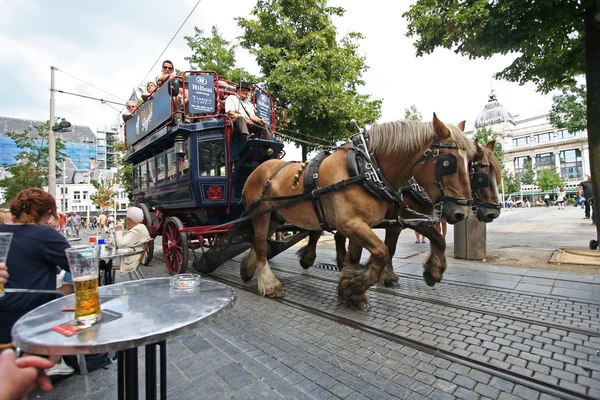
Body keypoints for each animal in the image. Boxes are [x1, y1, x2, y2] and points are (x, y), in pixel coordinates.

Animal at [241, 114, 476, 310]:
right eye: (448, 163)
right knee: (261, 244)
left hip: (275, 216)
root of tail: (258, 169)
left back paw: (248, 269)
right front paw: (354, 287)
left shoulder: (366, 223)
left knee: (259, 242)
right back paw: (269, 284)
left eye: (470, 164)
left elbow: (355, 258)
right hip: (261, 213)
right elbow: (382, 251)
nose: (462, 213)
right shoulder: (351, 224)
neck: (367, 169)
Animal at [330, 140, 504, 288]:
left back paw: (342, 265)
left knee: (339, 236)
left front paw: (432, 272)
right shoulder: (399, 222)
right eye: (481, 176)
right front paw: (388, 277)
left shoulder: (414, 220)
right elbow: (390, 248)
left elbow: (437, 238)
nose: (493, 213)